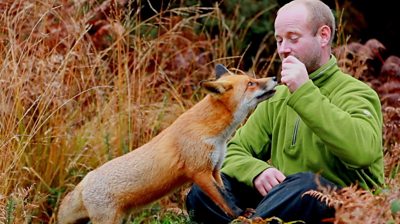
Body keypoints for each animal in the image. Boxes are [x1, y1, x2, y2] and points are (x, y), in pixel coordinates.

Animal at [57, 64, 276, 223]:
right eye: (251, 83)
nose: (274, 77)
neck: (213, 134)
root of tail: (83, 182)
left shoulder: (215, 169)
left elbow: (225, 197)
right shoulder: (200, 172)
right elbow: (223, 199)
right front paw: (240, 214)